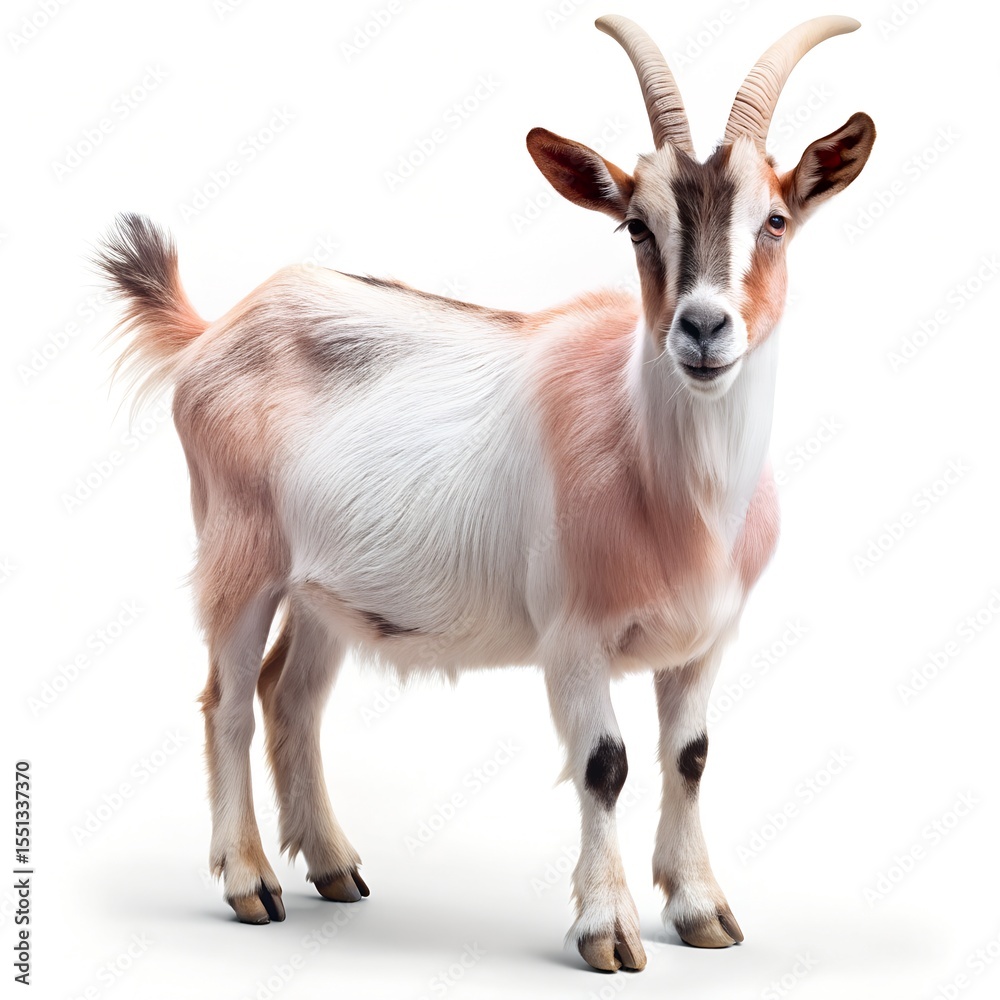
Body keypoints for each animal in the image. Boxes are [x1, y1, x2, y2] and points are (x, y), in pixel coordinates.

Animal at [97, 14, 874, 972]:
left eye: (775, 219)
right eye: (637, 227)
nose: (701, 328)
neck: (669, 486)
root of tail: (215, 330)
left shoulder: (708, 638)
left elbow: (690, 755)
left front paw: (703, 913)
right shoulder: (572, 635)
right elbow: (606, 764)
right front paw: (609, 932)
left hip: (326, 591)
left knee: (290, 696)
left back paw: (335, 867)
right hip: (239, 554)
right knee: (228, 700)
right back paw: (251, 883)